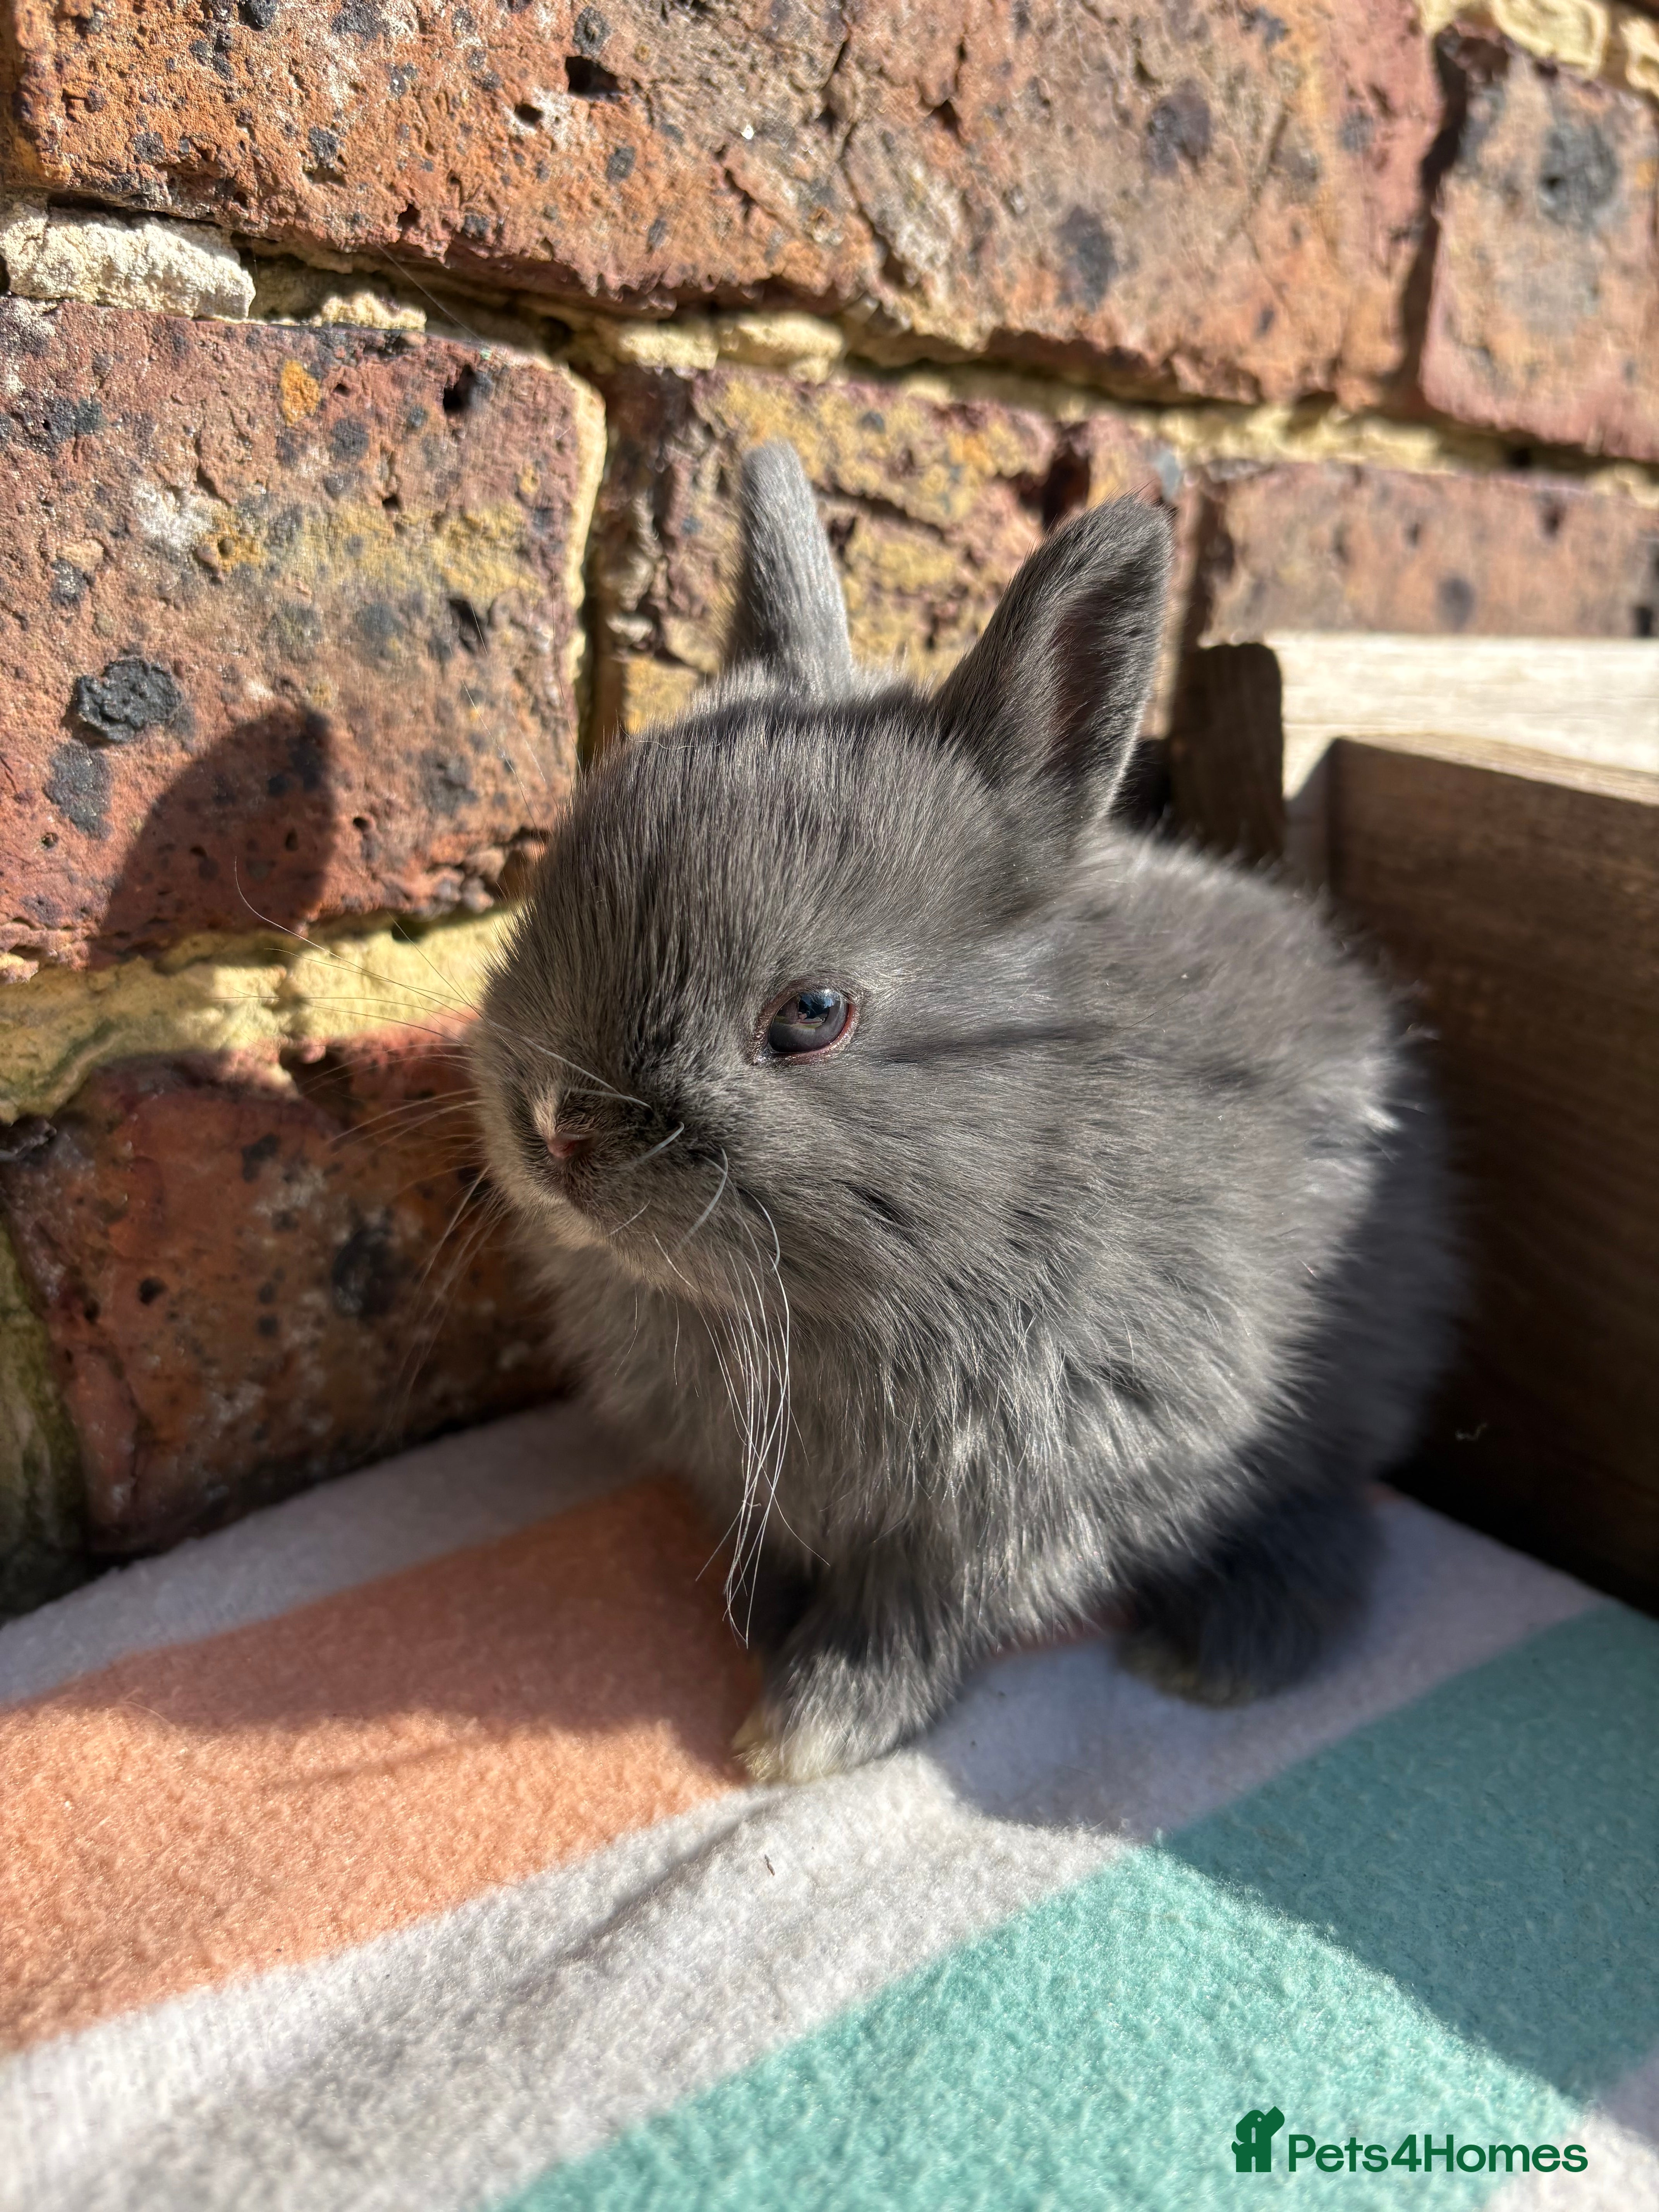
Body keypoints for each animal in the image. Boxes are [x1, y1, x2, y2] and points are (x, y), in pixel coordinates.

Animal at [471, 441, 1459, 1784]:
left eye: (812, 1013)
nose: (556, 1131)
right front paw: (766, 1636)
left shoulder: (1024, 1501)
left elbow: (914, 1620)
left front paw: (800, 1733)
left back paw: (1221, 1653)